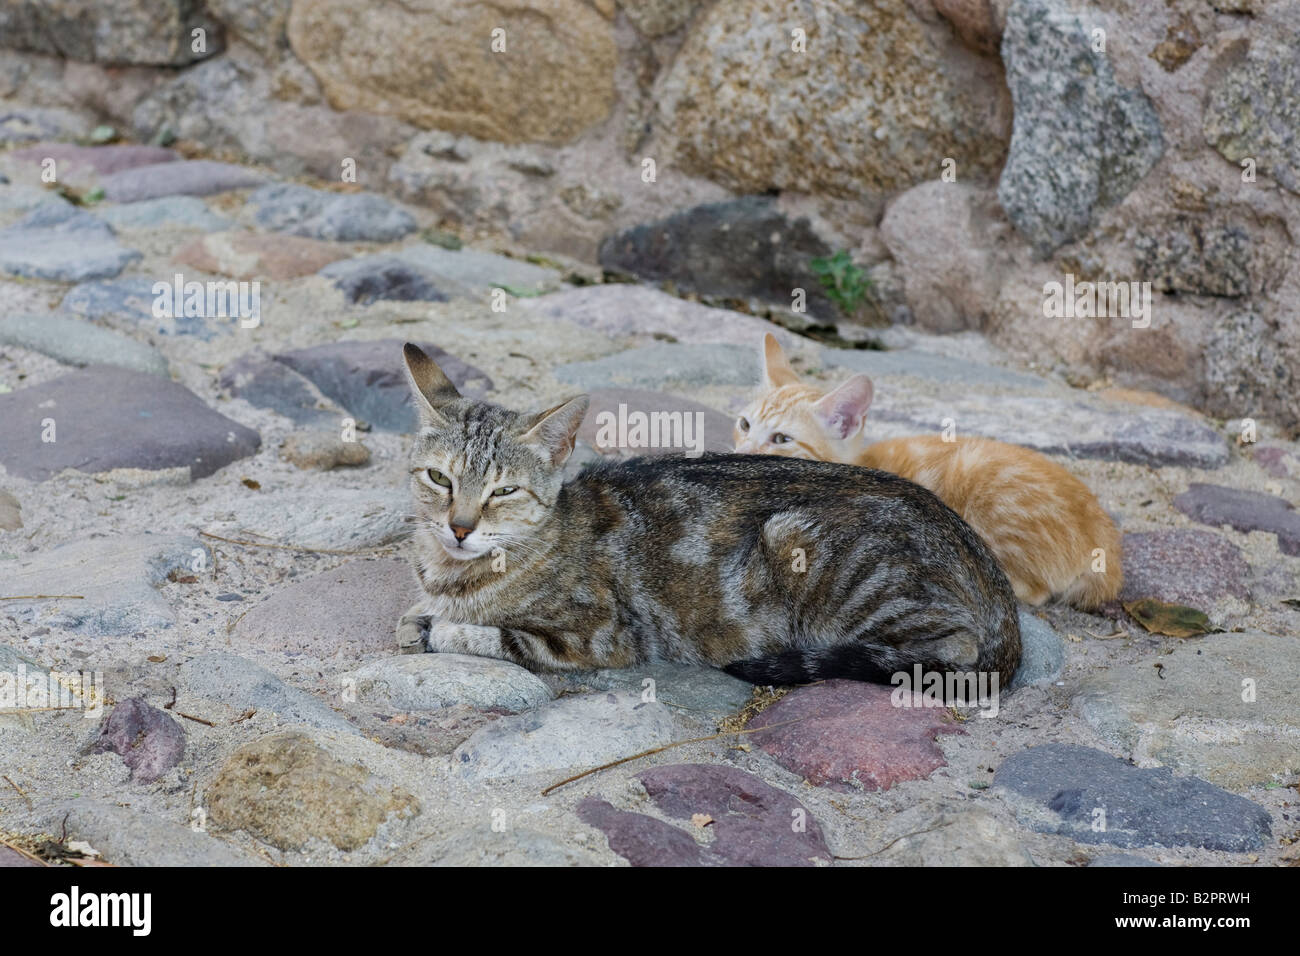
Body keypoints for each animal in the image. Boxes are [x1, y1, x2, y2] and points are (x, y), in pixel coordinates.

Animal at [390, 343, 1019, 686]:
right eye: (440, 479)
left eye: (503, 492)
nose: (460, 527)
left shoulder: (600, 635)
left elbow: (490, 637)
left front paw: (432, 627)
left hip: (806, 546)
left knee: (950, 652)